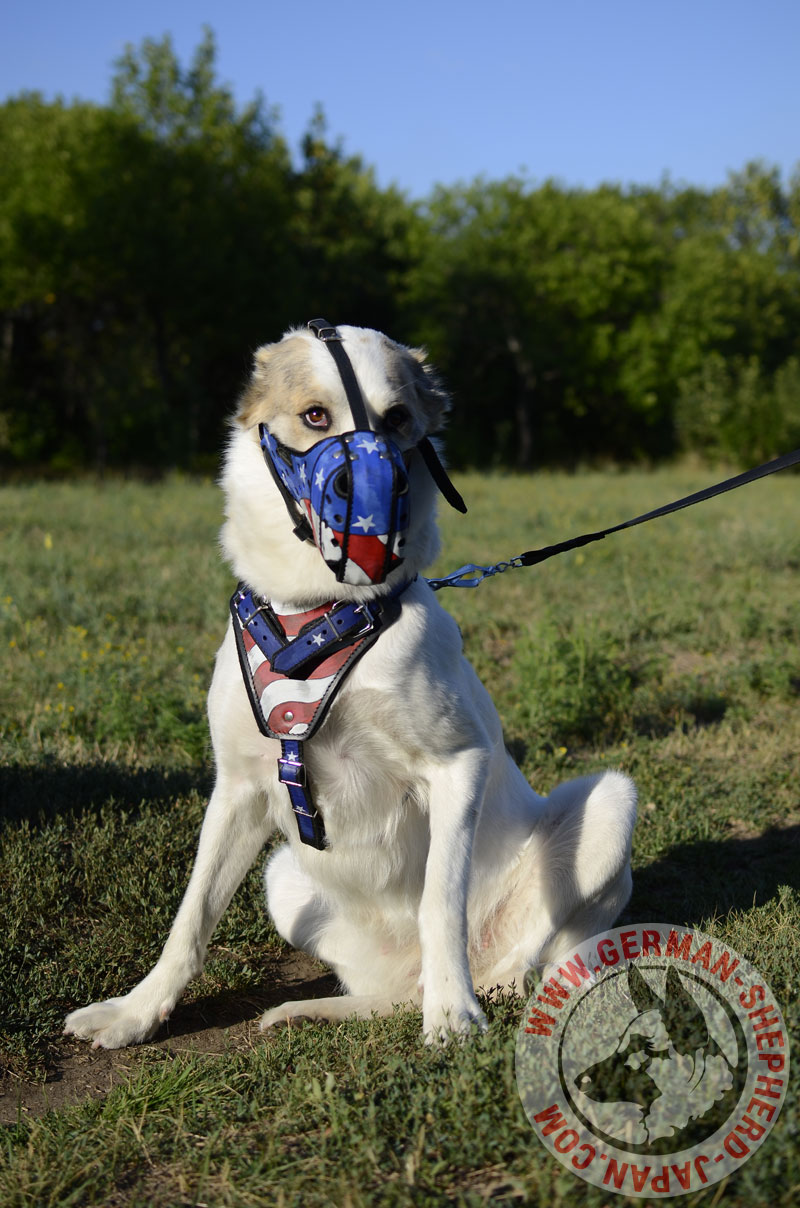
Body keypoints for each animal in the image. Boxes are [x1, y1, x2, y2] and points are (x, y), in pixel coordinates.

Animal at [64, 321, 638, 1048]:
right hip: (285, 878)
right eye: (315, 416)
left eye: (397, 421)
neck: (317, 613)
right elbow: (190, 919)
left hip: (609, 802)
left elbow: (439, 899)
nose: (364, 504)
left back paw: (488, 991)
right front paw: (138, 1012)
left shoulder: (459, 765)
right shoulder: (237, 790)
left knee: (549, 962)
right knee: (388, 994)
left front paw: (453, 1012)